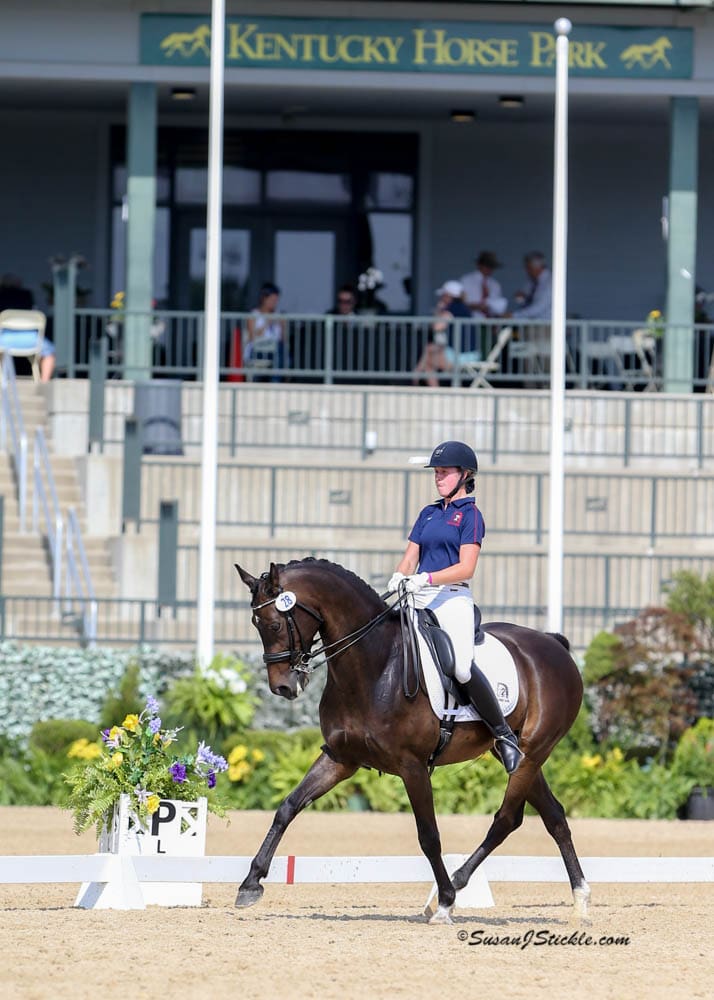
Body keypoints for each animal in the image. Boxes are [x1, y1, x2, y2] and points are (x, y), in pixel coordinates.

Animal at [234, 557, 590, 924]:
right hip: (517, 756)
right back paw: (579, 898)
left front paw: (446, 901)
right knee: (553, 816)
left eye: (275, 625)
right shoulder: (339, 758)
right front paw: (250, 883)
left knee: (506, 820)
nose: (283, 687)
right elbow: (288, 807)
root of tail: (552, 643)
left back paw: (455, 887)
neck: (374, 666)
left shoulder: (413, 766)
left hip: (534, 752)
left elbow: (429, 836)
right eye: (256, 624)